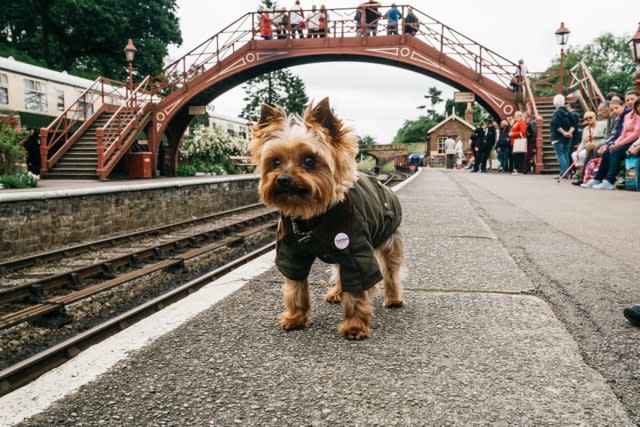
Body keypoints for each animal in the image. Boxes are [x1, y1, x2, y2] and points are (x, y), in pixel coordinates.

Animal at [250, 98, 404, 342]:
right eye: (275, 161)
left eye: (309, 160)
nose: (283, 179)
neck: (310, 216)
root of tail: (378, 181)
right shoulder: (292, 252)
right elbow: (295, 285)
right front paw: (295, 318)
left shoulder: (354, 248)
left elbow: (358, 288)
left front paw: (355, 326)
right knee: (341, 272)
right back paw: (337, 293)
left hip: (388, 237)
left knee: (391, 270)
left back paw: (394, 298)